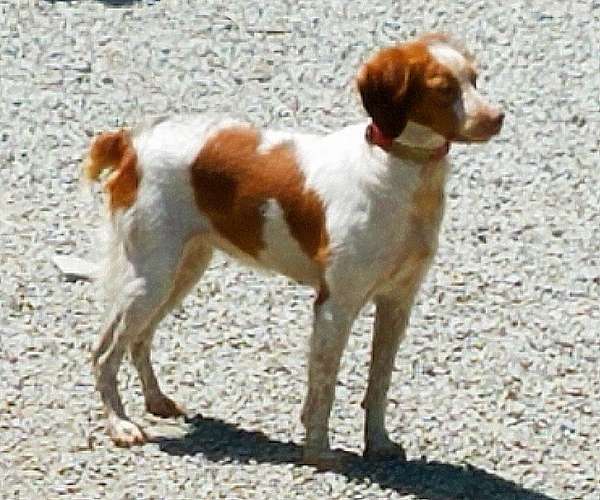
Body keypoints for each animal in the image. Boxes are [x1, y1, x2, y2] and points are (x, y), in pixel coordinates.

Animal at [83, 33, 502, 466]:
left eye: (474, 79)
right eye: (443, 89)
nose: (497, 117)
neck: (399, 174)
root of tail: (133, 140)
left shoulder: (397, 302)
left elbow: (379, 383)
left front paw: (378, 443)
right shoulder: (335, 305)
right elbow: (324, 387)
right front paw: (319, 453)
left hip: (182, 271)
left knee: (139, 339)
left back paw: (155, 400)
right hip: (150, 278)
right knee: (103, 352)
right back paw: (120, 425)